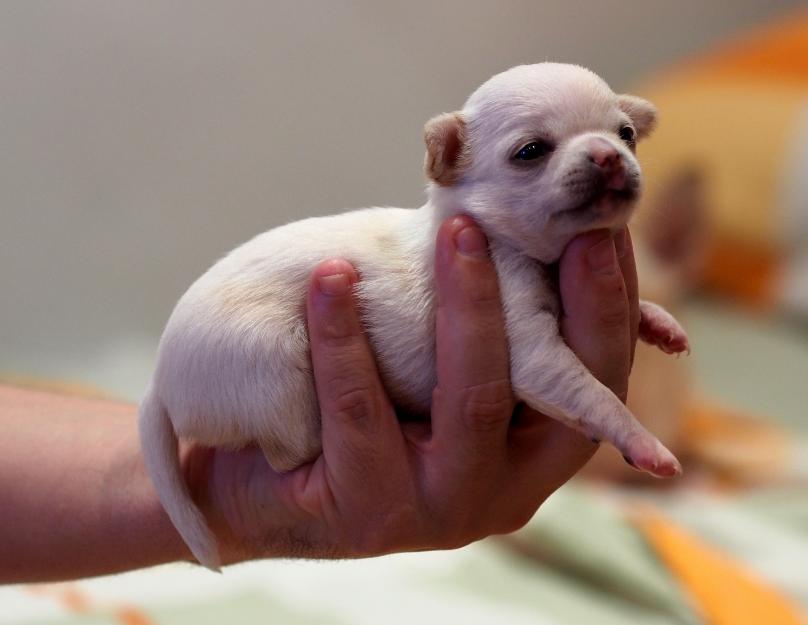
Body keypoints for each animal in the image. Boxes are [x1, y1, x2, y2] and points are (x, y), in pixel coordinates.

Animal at [189, 217, 636, 564]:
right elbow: (550, 371)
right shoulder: (517, 309)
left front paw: (651, 320)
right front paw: (641, 443)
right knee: (288, 451)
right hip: (271, 373)